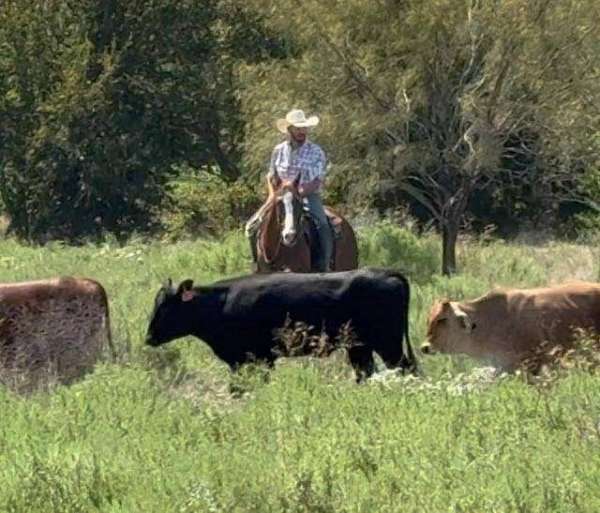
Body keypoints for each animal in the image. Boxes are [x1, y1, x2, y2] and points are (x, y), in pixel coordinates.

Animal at [145, 268, 418, 380]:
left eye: (165, 307)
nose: (149, 337)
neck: (221, 303)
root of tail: (385, 273)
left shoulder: (258, 358)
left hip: (388, 343)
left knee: (403, 368)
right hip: (360, 347)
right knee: (367, 372)